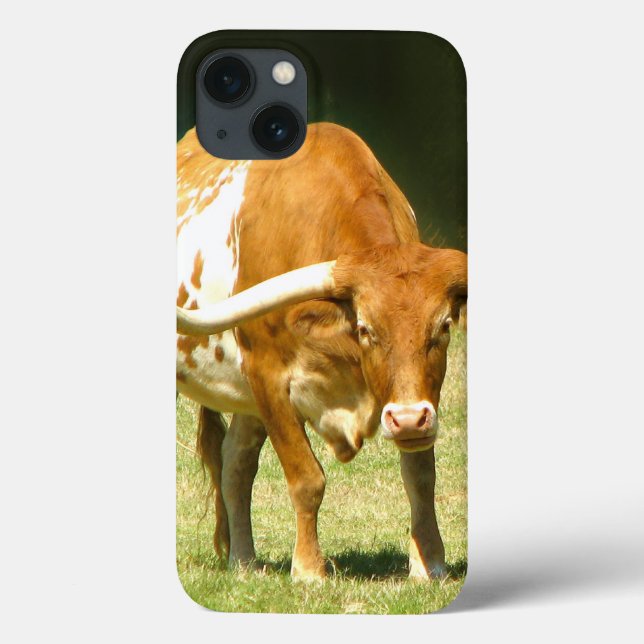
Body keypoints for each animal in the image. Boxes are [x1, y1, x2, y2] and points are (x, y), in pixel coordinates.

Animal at [176, 122, 467, 581]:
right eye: (365, 329)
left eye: (443, 327)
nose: (406, 420)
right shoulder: (267, 376)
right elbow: (306, 478)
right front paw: (309, 569)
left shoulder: (422, 399)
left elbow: (421, 474)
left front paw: (429, 564)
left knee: (235, 464)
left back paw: (244, 561)